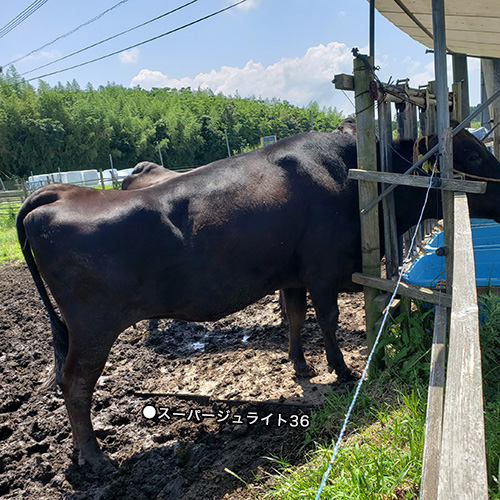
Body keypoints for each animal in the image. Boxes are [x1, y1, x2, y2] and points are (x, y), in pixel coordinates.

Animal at [15, 126, 500, 468]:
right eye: (473, 155)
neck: (348, 174)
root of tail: (59, 192)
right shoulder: (323, 269)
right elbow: (327, 319)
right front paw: (342, 371)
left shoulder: (293, 274)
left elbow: (296, 317)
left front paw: (300, 365)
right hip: (93, 329)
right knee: (75, 385)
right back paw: (96, 457)